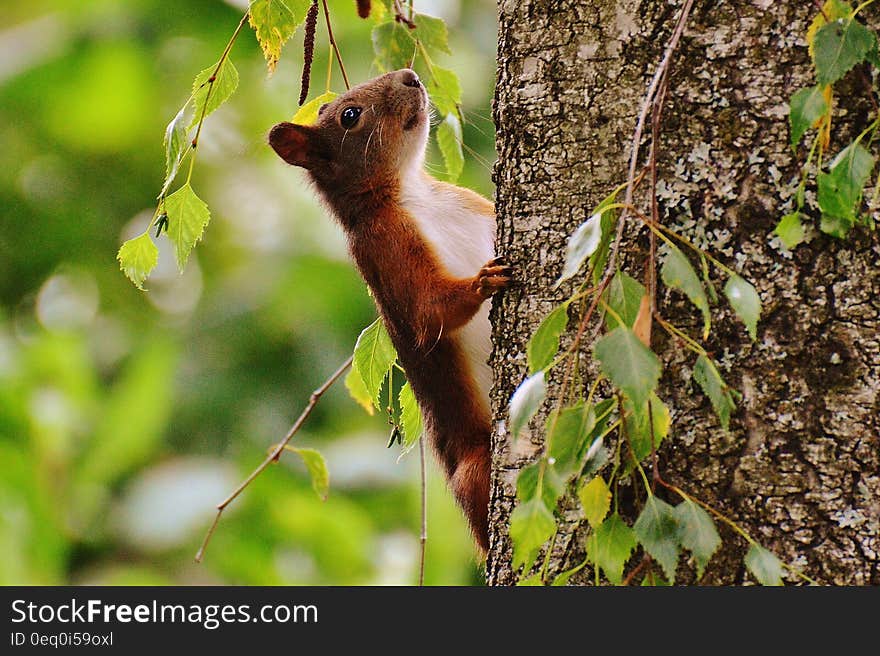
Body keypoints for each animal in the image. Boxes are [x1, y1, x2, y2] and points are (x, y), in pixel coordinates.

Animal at [268, 68, 508, 548]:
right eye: (350, 115)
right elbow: (430, 310)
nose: (410, 75)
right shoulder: (384, 248)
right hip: (476, 466)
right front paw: (483, 281)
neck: (413, 192)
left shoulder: (476, 205)